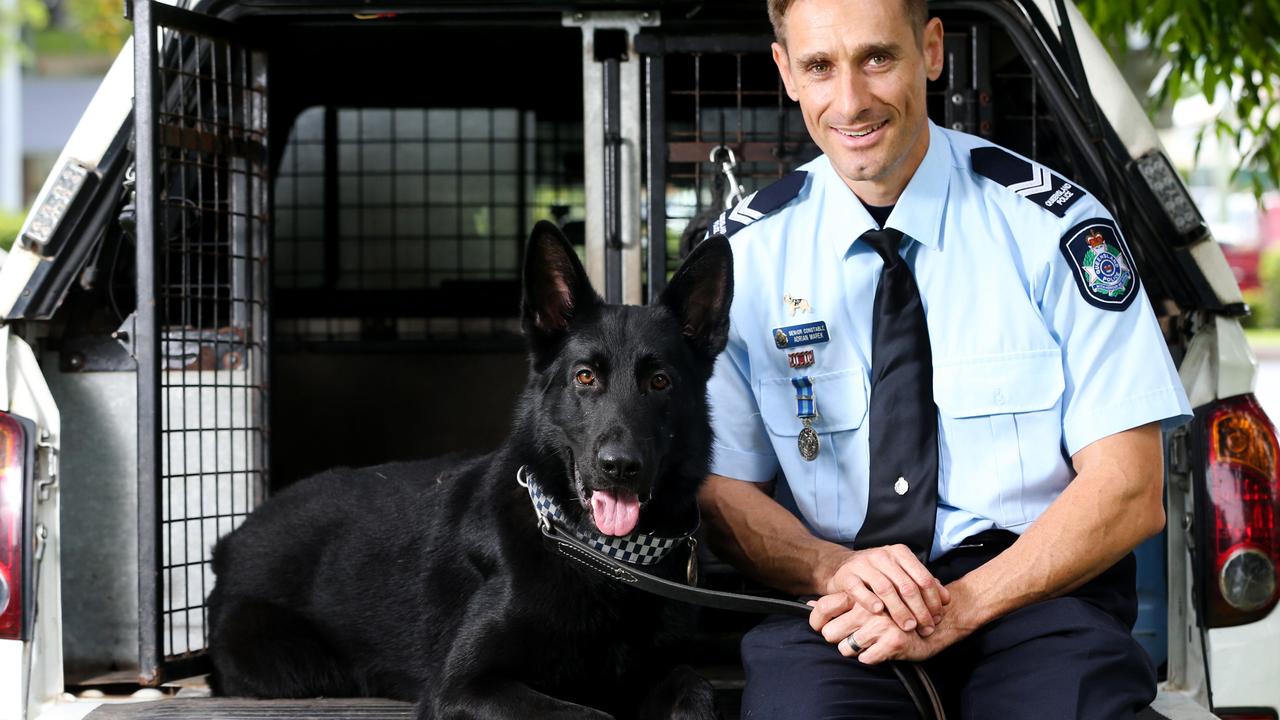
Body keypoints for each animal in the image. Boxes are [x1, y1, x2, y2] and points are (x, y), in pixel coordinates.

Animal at [207, 220, 732, 717]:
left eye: (660, 382)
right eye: (585, 377)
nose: (620, 467)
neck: (602, 558)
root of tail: (233, 537)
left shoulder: (661, 671)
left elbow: (695, 688)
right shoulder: (462, 689)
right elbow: (585, 715)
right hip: (299, 664)